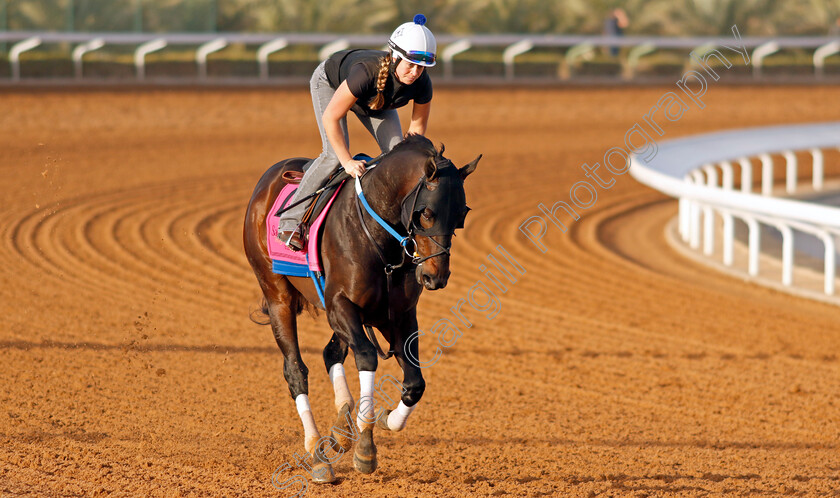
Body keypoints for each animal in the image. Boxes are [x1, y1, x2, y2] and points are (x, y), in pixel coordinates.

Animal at [243, 135, 480, 482]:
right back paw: (317, 455)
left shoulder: (397, 315)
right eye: (426, 213)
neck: (379, 237)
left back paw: (341, 427)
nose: (435, 276)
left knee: (331, 352)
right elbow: (367, 357)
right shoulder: (341, 305)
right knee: (296, 371)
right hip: (277, 296)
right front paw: (365, 446)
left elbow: (415, 383)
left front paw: (384, 418)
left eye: (462, 214)